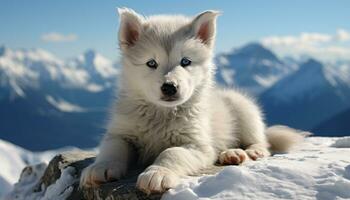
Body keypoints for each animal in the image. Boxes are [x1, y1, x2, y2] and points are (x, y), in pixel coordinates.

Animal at [80, 8, 304, 194]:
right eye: (151, 63)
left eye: (185, 62)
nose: (169, 87)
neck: (162, 114)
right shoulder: (122, 132)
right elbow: (112, 148)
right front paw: (99, 168)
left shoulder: (196, 143)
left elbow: (172, 152)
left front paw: (156, 173)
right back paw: (230, 154)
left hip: (244, 109)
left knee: (261, 139)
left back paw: (248, 151)